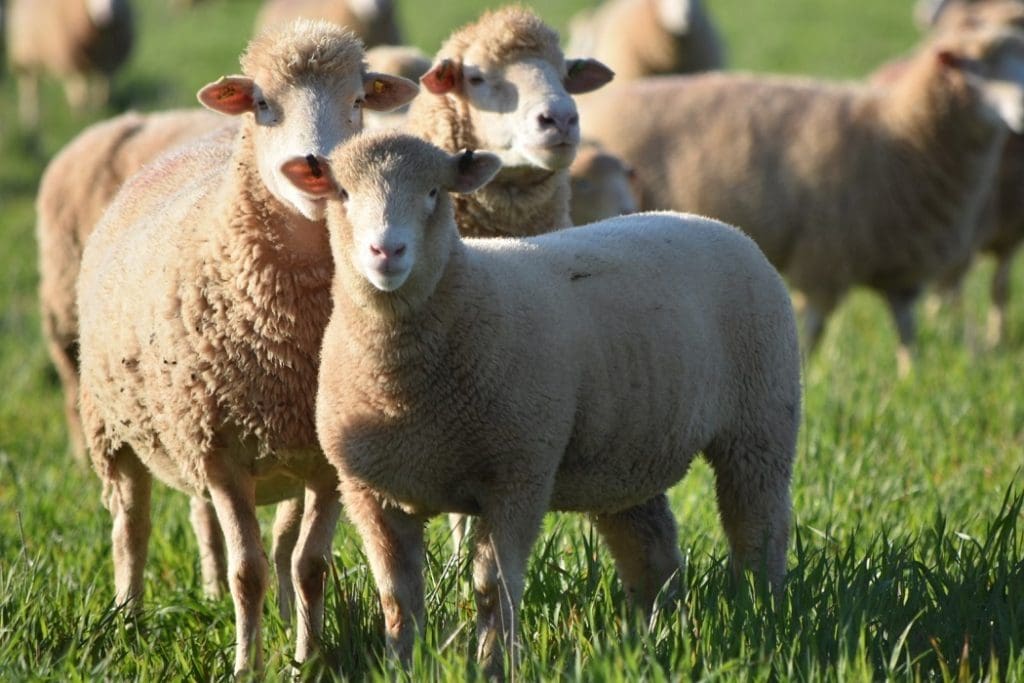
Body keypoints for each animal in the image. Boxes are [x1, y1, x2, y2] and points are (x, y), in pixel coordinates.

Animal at [6, 0, 134, 129]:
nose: (104, 17)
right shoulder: (72, 64)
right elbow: (79, 95)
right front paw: (81, 118)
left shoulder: (109, 64)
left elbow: (104, 92)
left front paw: (101, 112)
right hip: (26, 59)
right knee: (31, 90)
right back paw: (31, 121)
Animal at [75, 20, 418, 674]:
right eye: (262, 103)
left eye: (359, 100)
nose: (315, 165)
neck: (289, 339)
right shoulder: (219, 451)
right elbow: (246, 573)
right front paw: (245, 666)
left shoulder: (328, 457)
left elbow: (310, 565)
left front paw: (307, 660)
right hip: (113, 428)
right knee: (131, 529)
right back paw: (128, 619)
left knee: (275, 541)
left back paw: (281, 619)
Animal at [288, 132, 800, 679]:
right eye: (342, 193)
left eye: (433, 192)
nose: (387, 250)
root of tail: (709, 222)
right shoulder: (370, 490)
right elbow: (396, 597)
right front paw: (402, 667)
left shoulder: (518, 474)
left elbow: (493, 589)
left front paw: (494, 666)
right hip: (625, 454)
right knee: (653, 553)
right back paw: (652, 637)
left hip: (761, 421)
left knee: (758, 529)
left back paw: (760, 616)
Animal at [578, 26, 1024, 373]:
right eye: (978, 67)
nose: (1020, 114)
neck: (901, 132)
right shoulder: (824, 257)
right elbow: (814, 327)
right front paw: (809, 370)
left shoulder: (904, 268)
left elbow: (907, 331)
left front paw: (908, 378)